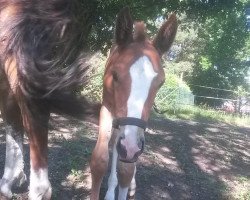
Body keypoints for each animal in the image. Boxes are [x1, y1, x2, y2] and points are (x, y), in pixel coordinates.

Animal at [90, 7, 178, 200]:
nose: (130, 148)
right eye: (115, 75)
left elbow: (127, 169)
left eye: (161, 83)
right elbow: (100, 160)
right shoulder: (107, 108)